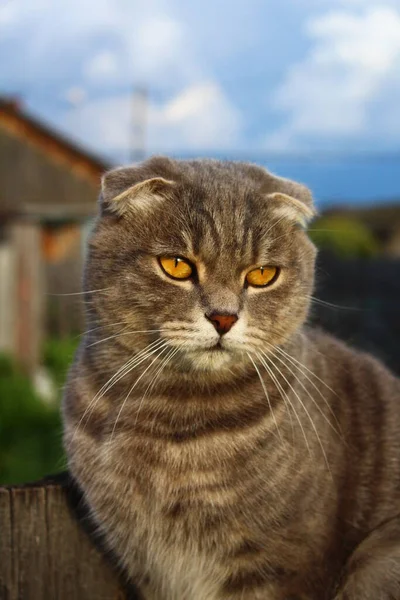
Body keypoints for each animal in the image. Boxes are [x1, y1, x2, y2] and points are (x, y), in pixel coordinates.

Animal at [62, 156, 400, 600]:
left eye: (262, 274)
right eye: (176, 265)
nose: (223, 317)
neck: (169, 421)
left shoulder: (283, 564)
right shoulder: (143, 562)